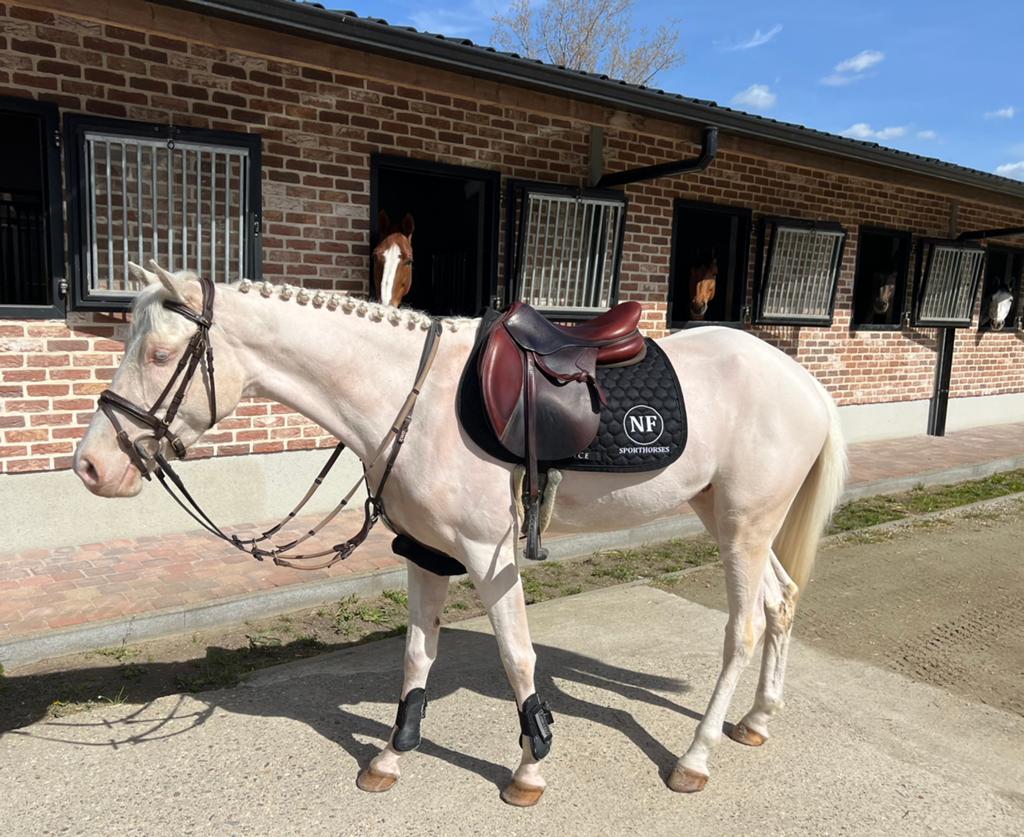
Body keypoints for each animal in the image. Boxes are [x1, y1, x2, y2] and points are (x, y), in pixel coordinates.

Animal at [73, 263, 847, 807]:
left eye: (160, 354)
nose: (91, 466)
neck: (411, 399)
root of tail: (803, 380)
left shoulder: (488, 554)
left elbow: (518, 658)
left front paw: (529, 768)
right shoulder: (426, 553)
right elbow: (417, 655)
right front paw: (391, 754)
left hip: (744, 526)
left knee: (744, 628)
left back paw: (695, 756)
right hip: (729, 518)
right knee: (781, 602)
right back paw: (758, 719)